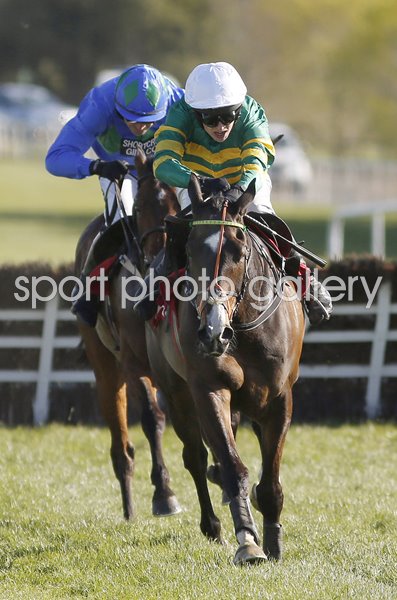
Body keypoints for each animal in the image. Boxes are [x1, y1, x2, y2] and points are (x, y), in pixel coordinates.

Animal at [73, 150, 180, 520]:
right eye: (143, 206)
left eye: (179, 204)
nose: (161, 258)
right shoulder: (135, 365)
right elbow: (152, 417)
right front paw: (164, 493)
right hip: (106, 367)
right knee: (120, 443)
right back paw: (130, 507)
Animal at [145, 176, 304, 564]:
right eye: (189, 251)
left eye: (240, 251)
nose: (213, 331)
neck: (244, 326)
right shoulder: (208, 388)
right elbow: (233, 468)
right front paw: (248, 541)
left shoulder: (280, 397)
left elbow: (270, 480)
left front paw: (273, 540)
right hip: (175, 390)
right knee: (196, 456)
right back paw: (212, 524)